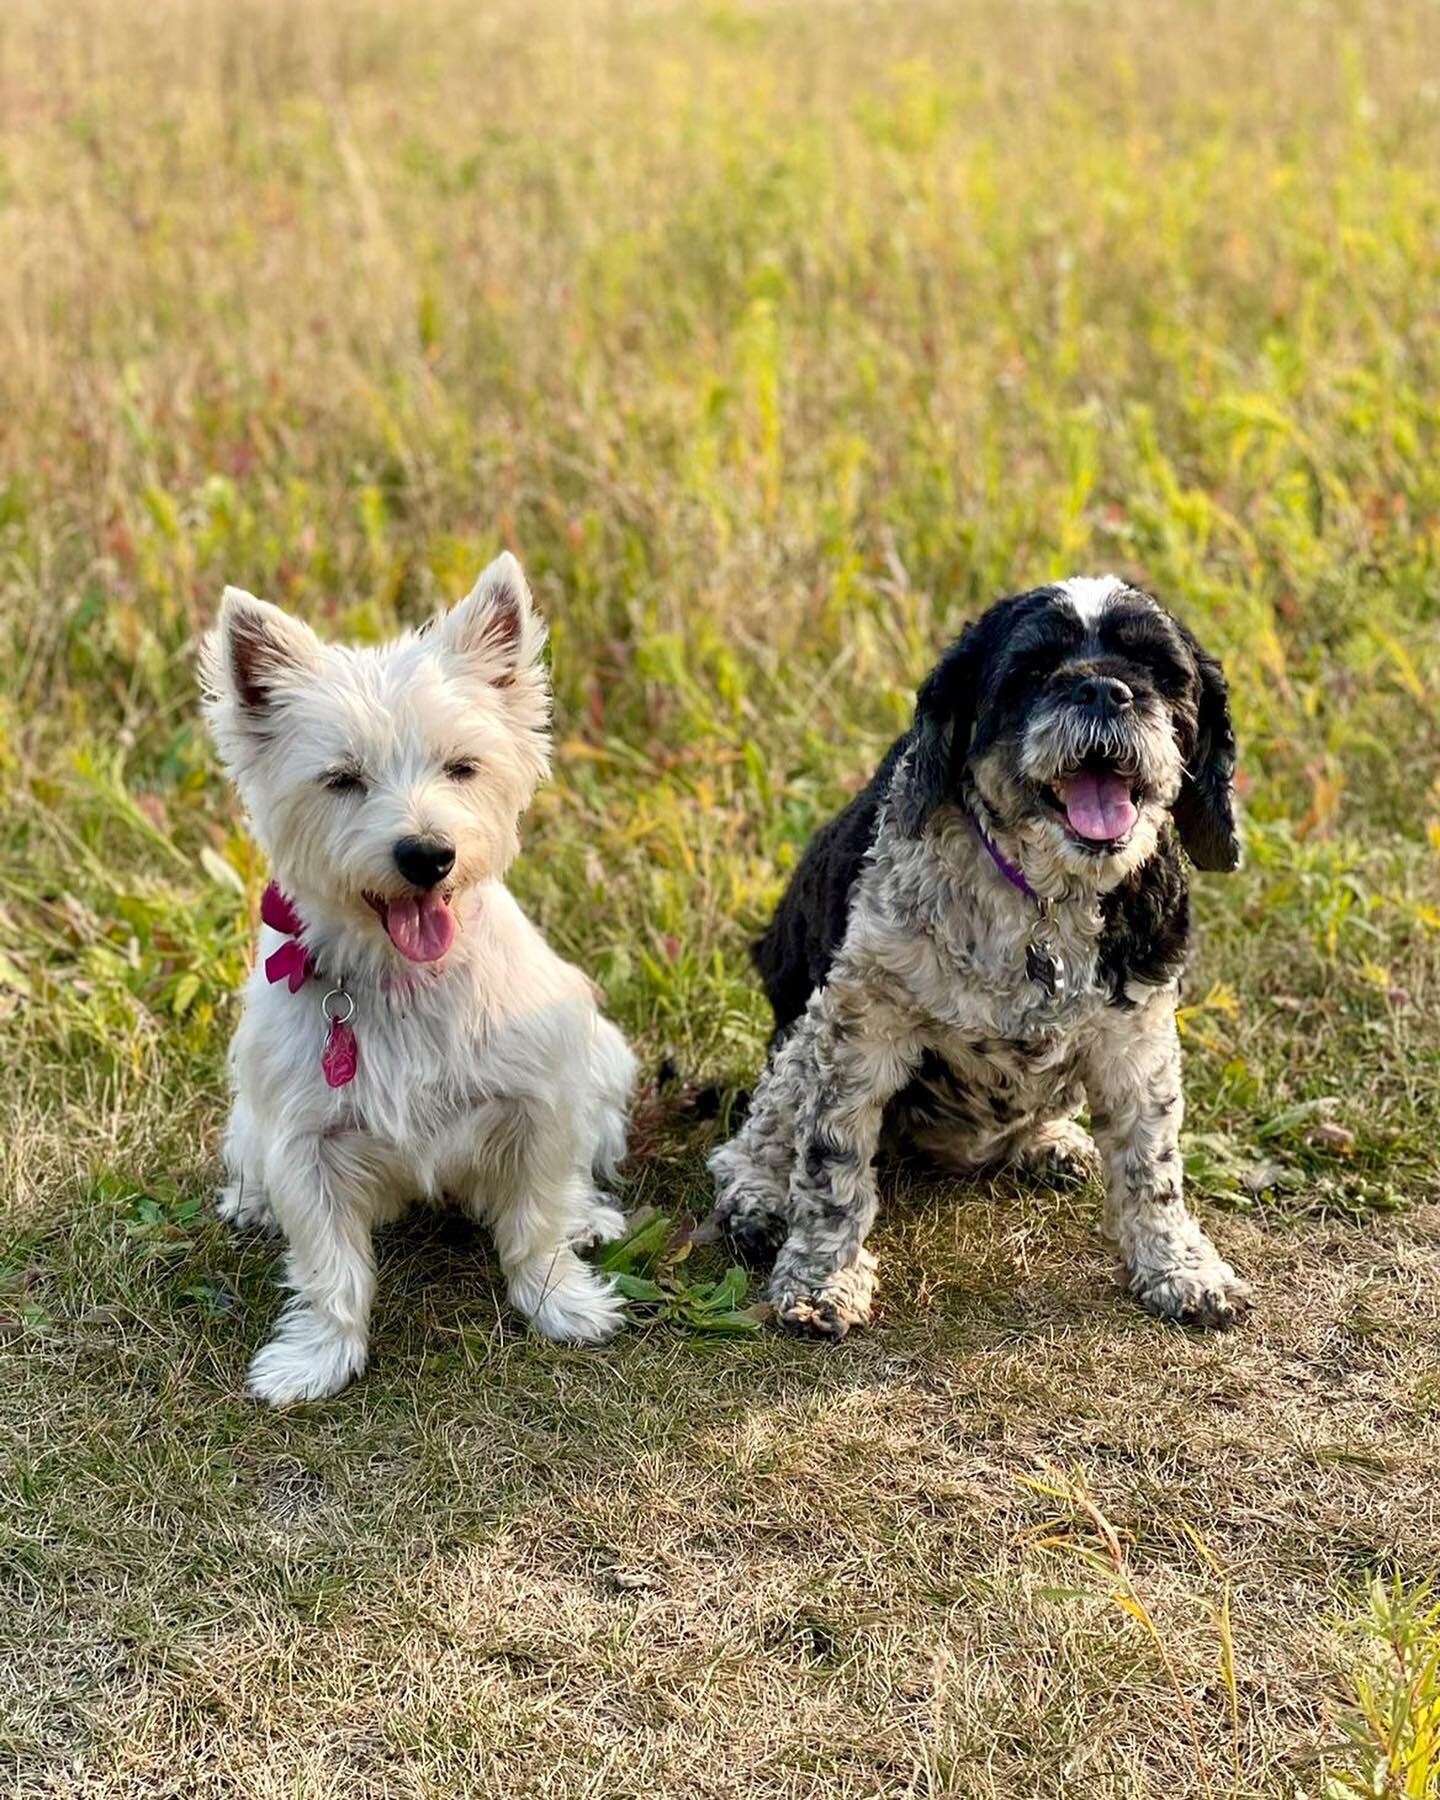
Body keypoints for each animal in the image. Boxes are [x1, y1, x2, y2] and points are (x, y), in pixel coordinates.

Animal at [202, 554, 637, 1396]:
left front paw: (560, 1301)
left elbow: (536, 1221)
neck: (404, 979)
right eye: (341, 779)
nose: (426, 854)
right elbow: (330, 1266)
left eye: (461, 767)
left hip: (604, 1061)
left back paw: (589, 1217)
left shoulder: (541, 1104)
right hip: (250, 1120)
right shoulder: (305, 1143)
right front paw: (317, 1357)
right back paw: (249, 1203)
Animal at [709, 572, 1245, 1339]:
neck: (1045, 899)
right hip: (800, 1031)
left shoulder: (1136, 1036)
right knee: (757, 1133)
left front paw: (1181, 1270)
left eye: (1160, 670)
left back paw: (1052, 1143)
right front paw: (821, 1282)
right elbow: (832, 1165)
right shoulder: (859, 1025)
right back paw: (755, 1198)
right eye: (1029, 670)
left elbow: (1153, 1165)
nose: (1104, 689)